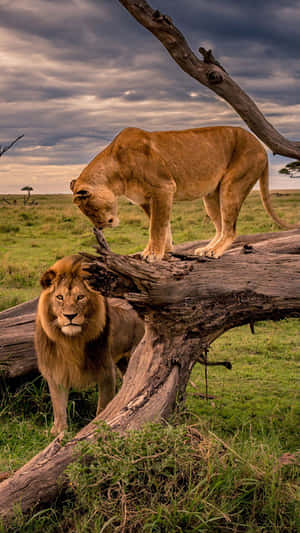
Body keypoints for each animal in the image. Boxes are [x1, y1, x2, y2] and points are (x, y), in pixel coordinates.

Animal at [34, 254, 144, 432]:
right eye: (59, 297)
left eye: (80, 297)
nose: (70, 316)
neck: (71, 341)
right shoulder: (56, 371)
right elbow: (58, 407)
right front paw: (58, 432)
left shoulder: (106, 371)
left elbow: (103, 406)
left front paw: (97, 426)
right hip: (122, 361)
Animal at [71, 124, 296, 258]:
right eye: (87, 213)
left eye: (91, 209)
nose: (101, 226)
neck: (114, 174)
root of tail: (261, 146)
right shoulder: (146, 199)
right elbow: (162, 224)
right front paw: (165, 250)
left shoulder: (163, 188)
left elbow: (156, 226)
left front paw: (152, 254)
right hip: (211, 195)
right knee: (221, 226)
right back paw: (206, 248)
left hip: (233, 185)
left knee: (231, 229)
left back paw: (214, 251)